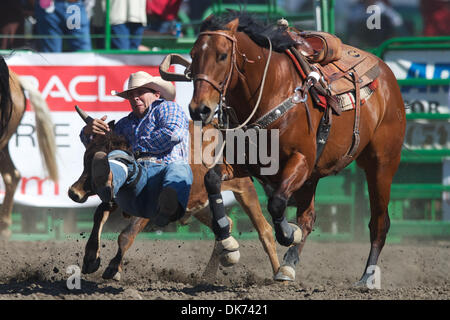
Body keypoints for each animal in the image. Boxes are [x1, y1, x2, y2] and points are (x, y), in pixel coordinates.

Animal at [68, 110, 280, 282]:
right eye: (86, 157)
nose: (74, 192)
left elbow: (126, 235)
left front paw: (114, 268)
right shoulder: (116, 197)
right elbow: (99, 215)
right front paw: (90, 259)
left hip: (244, 188)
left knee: (265, 230)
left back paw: (280, 274)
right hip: (200, 203)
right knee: (225, 223)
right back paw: (207, 276)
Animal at [181, 13, 406, 288]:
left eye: (222, 55)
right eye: (193, 54)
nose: (199, 109)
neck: (271, 91)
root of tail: (387, 74)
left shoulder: (300, 161)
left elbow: (277, 203)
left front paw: (289, 233)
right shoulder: (245, 163)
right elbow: (212, 180)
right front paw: (228, 244)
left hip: (381, 165)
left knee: (379, 223)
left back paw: (367, 278)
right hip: (313, 176)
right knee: (308, 217)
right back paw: (288, 266)